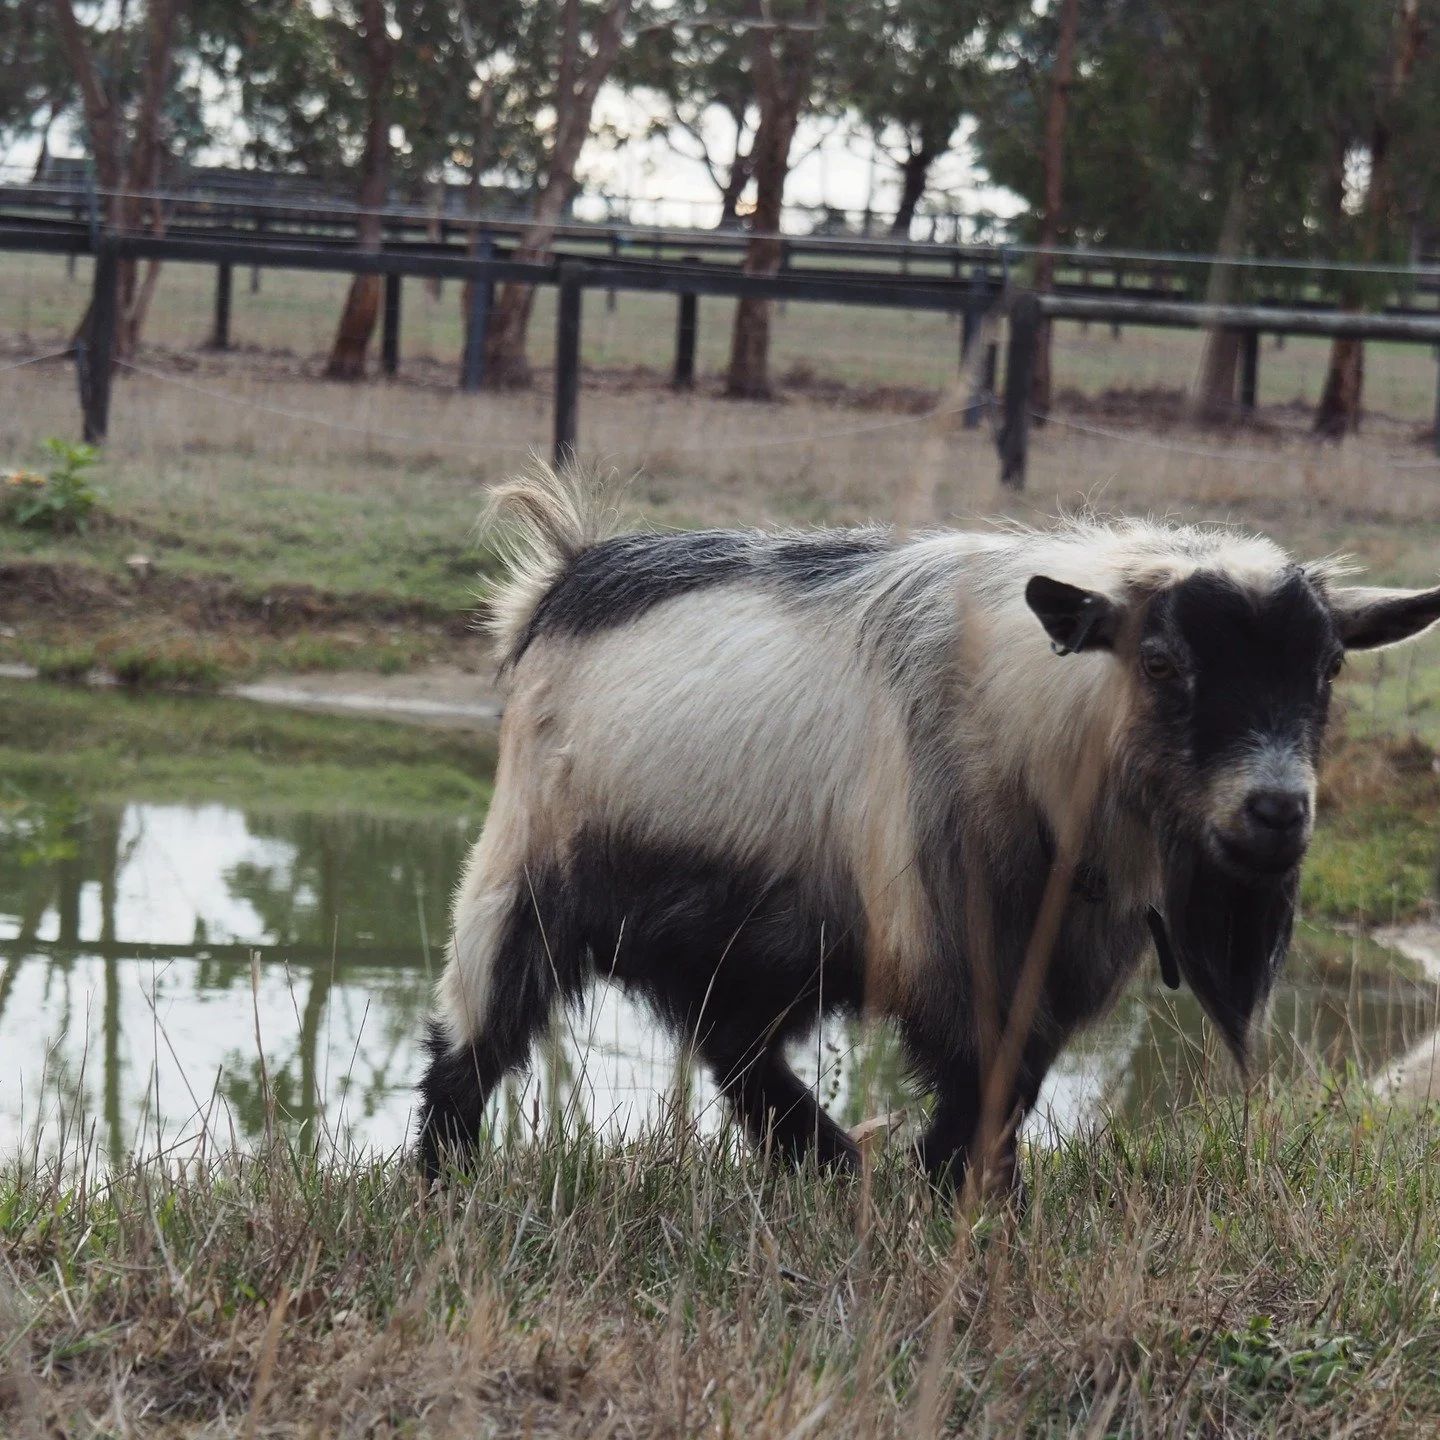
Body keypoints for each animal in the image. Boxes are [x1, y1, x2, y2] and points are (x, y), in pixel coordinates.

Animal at [417, 464, 1440, 1187]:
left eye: (1328, 668)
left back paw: (830, 1161)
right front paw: (967, 1196)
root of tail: (566, 573)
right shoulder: (956, 943)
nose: (1276, 809)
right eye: (1160, 661)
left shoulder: (1059, 958)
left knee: (737, 1048)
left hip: (758, 931)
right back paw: (442, 1178)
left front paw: (959, 1185)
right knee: (472, 1036)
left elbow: (1014, 1084)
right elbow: (982, 1084)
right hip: (523, 877)